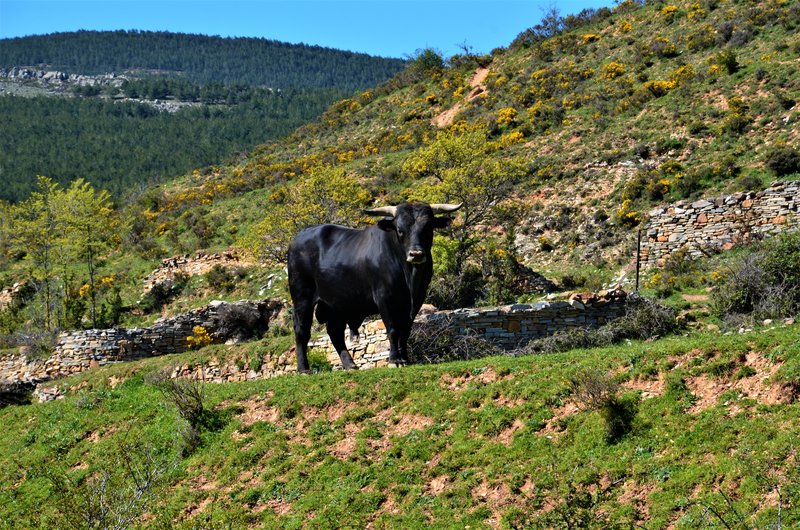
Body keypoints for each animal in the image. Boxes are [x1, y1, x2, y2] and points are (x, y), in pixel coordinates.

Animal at [288, 202, 462, 372]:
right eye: (400, 230)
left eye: (428, 227)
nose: (416, 254)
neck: (410, 277)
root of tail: (300, 236)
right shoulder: (384, 298)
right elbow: (393, 329)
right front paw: (394, 360)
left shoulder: (416, 301)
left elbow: (405, 331)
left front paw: (405, 359)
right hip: (302, 297)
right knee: (302, 331)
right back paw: (303, 369)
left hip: (338, 303)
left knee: (335, 331)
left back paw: (350, 365)